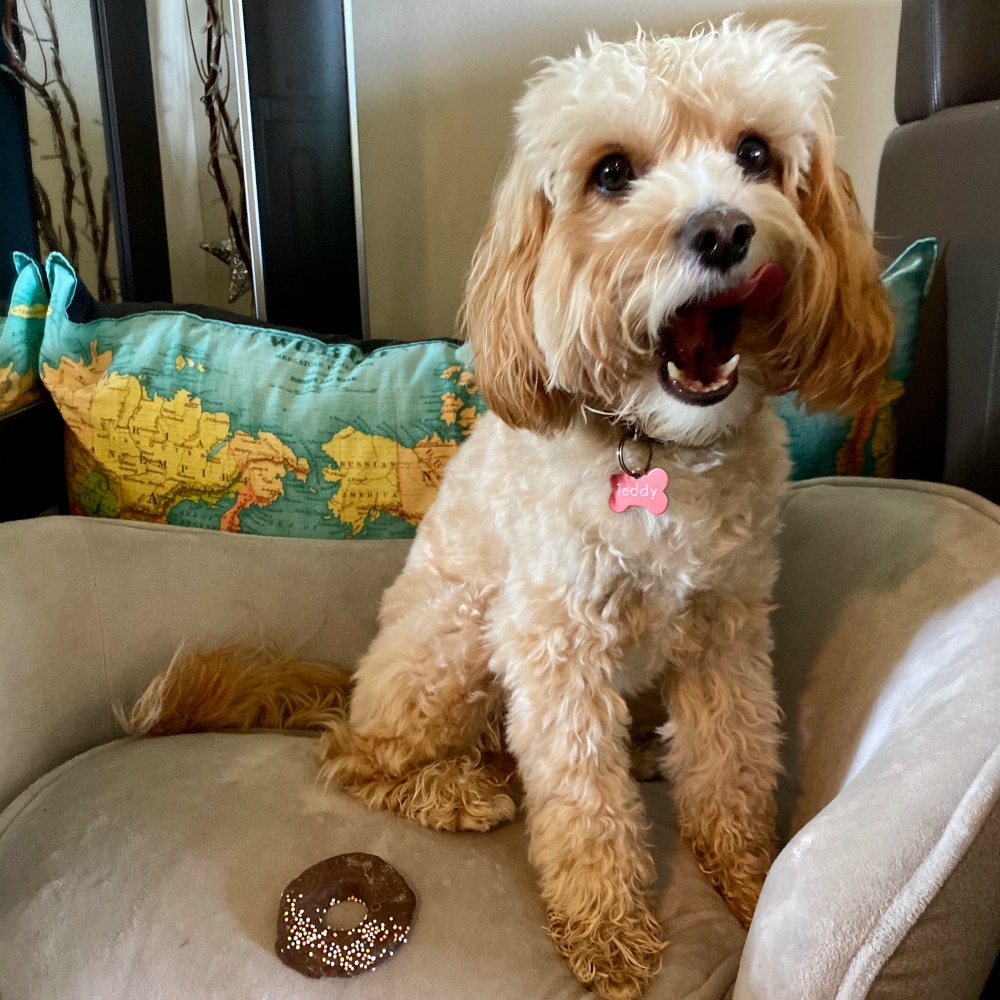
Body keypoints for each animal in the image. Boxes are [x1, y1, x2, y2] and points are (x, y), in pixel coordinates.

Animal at [127, 15, 892, 1000]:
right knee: (356, 754)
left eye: (755, 153)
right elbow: (582, 803)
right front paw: (608, 933)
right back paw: (457, 788)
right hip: (457, 638)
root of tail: (355, 683)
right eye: (611, 172)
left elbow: (732, 764)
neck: (653, 447)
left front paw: (748, 878)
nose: (723, 229)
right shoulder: (555, 642)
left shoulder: (726, 628)